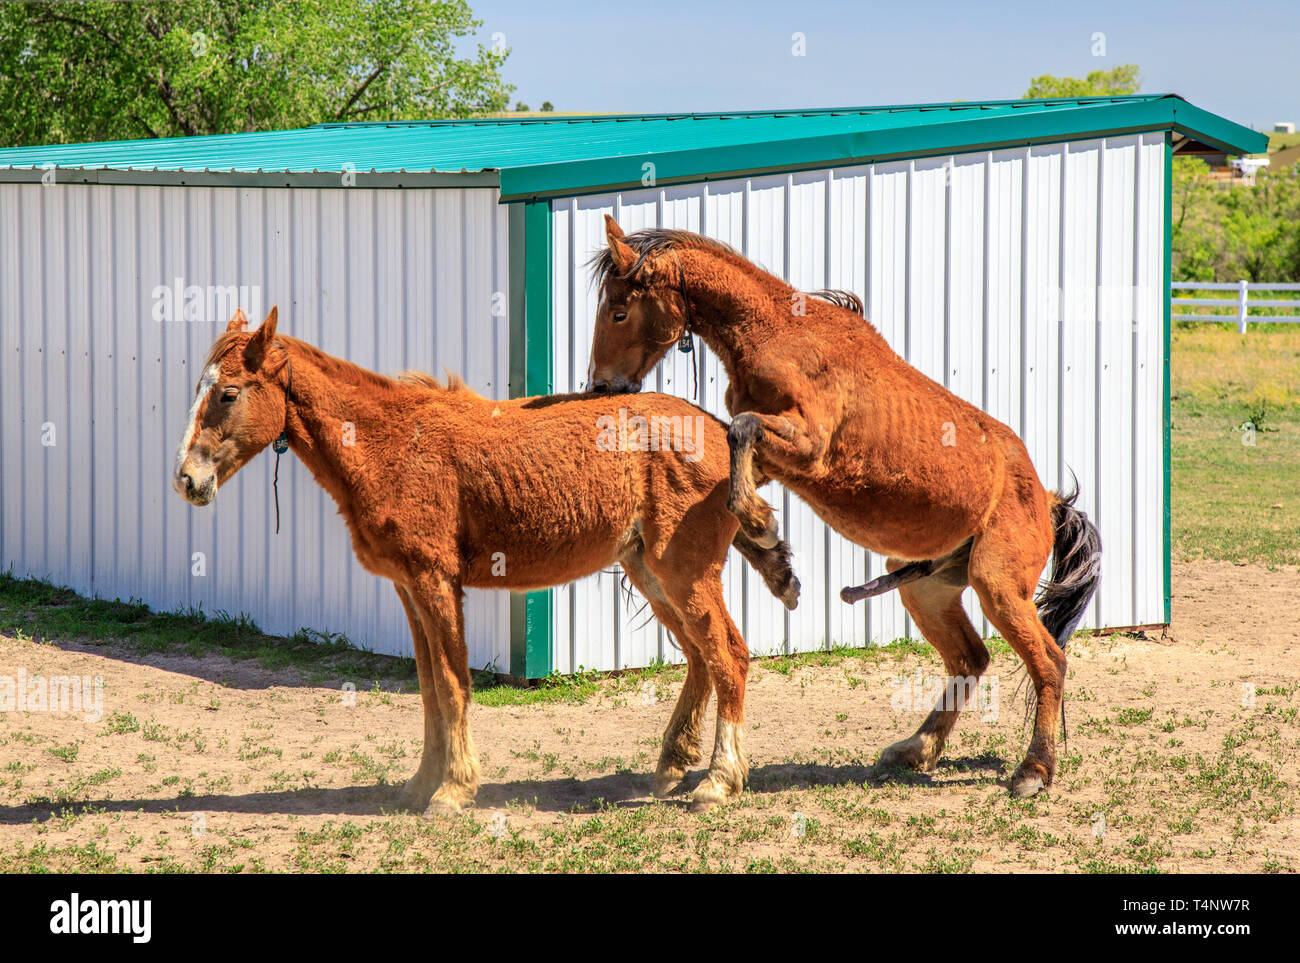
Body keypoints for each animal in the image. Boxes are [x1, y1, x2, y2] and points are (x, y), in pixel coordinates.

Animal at [174, 308, 795, 810]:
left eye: (228, 393)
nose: (187, 480)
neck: (389, 443)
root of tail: (720, 432)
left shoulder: (435, 580)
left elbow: (453, 684)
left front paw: (452, 790)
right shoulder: (408, 586)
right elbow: (429, 687)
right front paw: (421, 785)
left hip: (683, 574)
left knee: (730, 657)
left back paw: (718, 781)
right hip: (650, 573)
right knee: (700, 659)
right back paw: (671, 766)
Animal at [587, 218, 1097, 795]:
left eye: (619, 311)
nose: (600, 385)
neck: (779, 333)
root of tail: (1047, 500)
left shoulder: (807, 447)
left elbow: (741, 433)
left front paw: (762, 528)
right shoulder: (774, 460)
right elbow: (733, 469)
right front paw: (779, 570)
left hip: (998, 587)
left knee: (1050, 663)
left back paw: (1034, 770)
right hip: (928, 589)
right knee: (970, 658)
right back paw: (914, 749)